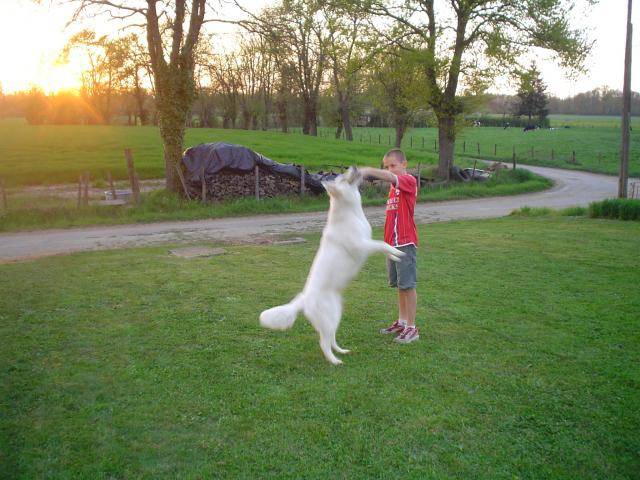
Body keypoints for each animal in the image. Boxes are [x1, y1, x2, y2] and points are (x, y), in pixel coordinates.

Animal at [260, 165, 404, 364]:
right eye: (342, 178)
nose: (354, 167)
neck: (350, 212)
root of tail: (303, 300)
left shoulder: (367, 243)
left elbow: (385, 246)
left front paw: (395, 257)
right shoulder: (363, 245)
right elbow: (383, 244)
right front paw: (400, 254)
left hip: (336, 315)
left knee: (331, 339)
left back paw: (342, 351)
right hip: (328, 320)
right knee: (324, 343)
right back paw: (335, 361)